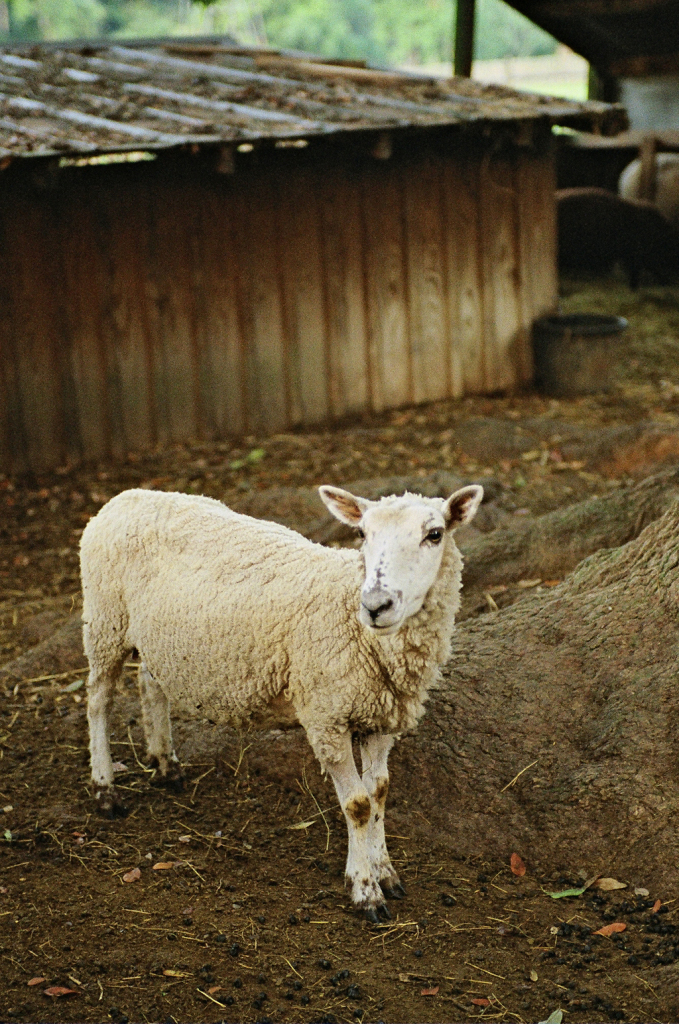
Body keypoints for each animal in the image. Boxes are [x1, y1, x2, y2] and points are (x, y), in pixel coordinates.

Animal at [79, 481, 483, 921]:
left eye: (435, 534)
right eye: (362, 534)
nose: (376, 606)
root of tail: (126, 497)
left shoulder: (379, 715)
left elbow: (379, 792)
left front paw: (386, 872)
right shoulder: (326, 716)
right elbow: (358, 805)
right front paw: (364, 890)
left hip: (160, 637)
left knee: (150, 683)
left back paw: (167, 764)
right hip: (104, 621)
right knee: (98, 700)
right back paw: (105, 789)